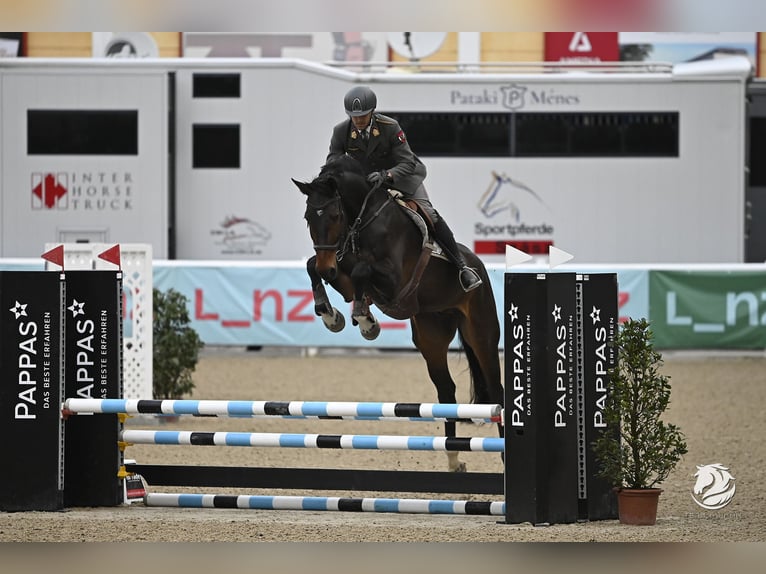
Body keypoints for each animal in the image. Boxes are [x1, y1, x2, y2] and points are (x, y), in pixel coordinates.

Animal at [294, 156, 504, 472]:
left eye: (334, 215)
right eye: (308, 218)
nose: (327, 268)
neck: (362, 220)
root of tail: (477, 263)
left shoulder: (394, 281)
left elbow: (361, 270)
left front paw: (366, 321)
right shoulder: (343, 275)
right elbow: (314, 266)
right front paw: (332, 316)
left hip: (481, 333)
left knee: (497, 390)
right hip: (431, 337)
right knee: (446, 392)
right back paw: (453, 459)